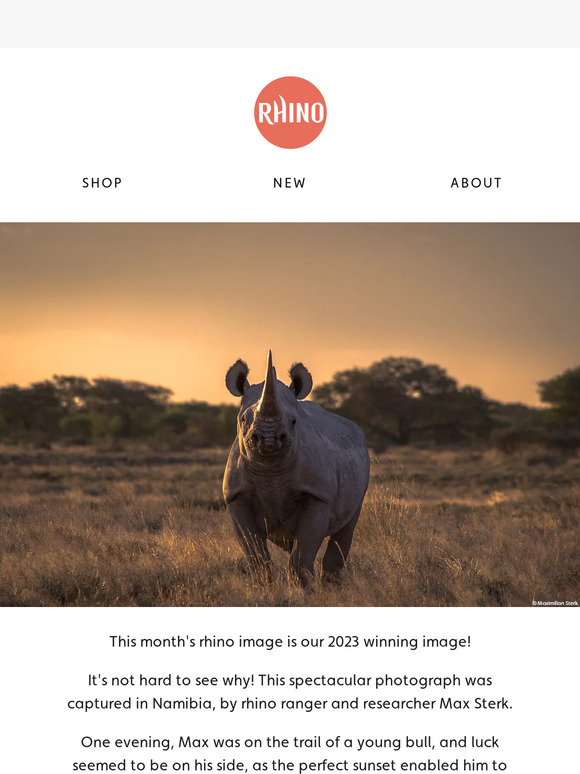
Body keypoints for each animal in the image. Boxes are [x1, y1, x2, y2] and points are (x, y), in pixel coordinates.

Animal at [223, 351, 370, 584]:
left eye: (293, 421)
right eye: (243, 419)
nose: (268, 438)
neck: (270, 471)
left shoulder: (317, 495)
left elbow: (301, 560)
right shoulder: (236, 496)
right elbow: (257, 557)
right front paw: (264, 587)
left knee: (346, 527)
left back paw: (332, 588)